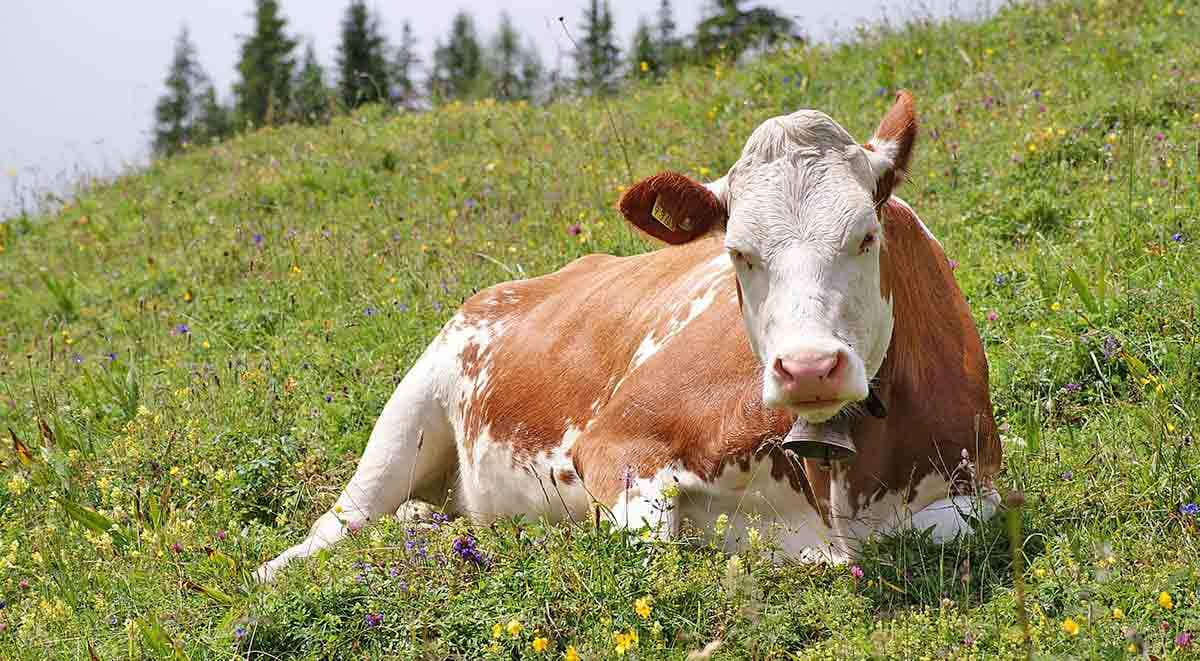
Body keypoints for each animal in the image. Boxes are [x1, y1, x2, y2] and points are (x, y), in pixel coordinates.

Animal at [255, 90, 1003, 583]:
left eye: (866, 235)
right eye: (738, 253)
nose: (809, 367)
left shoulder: (980, 485)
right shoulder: (616, 443)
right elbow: (651, 545)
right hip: (411, 410)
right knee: (341, 521)